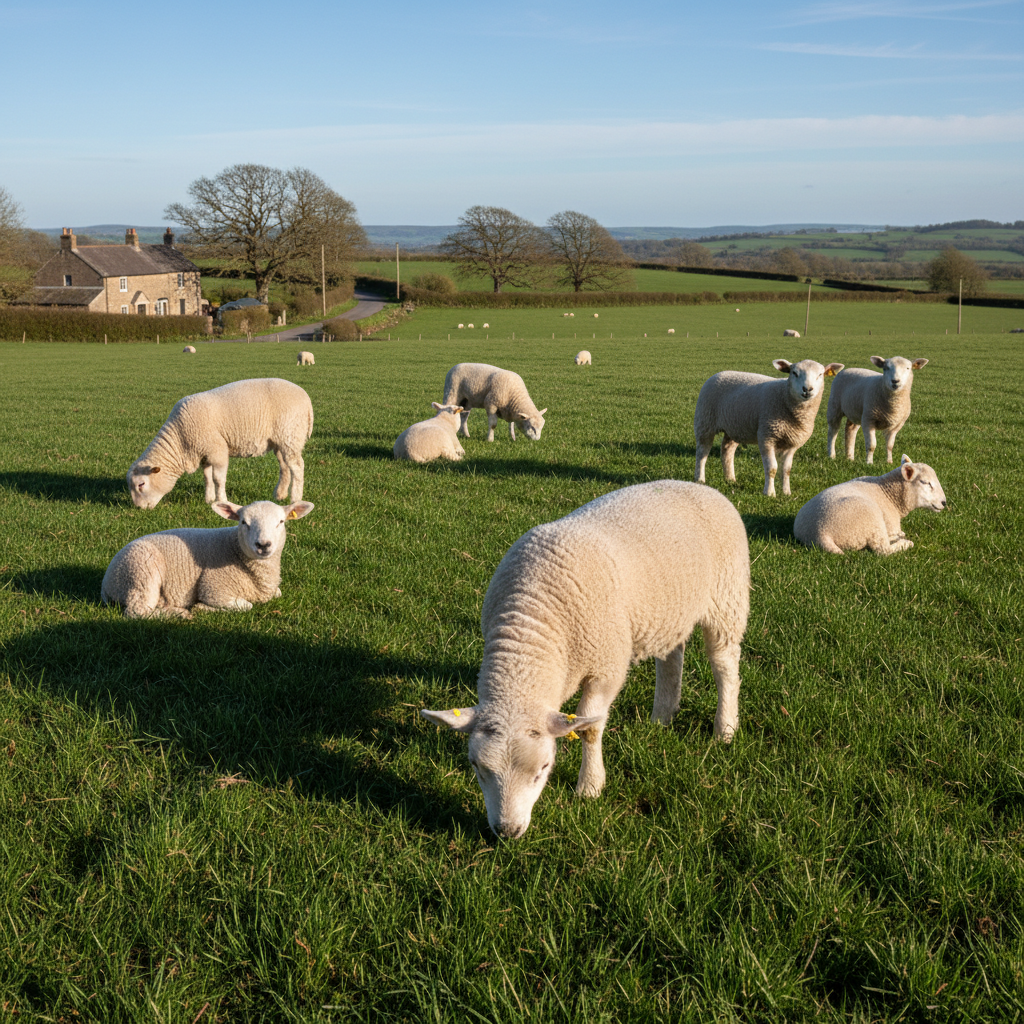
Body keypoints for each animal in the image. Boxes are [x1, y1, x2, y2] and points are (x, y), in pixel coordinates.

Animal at [101, 499, 314, 618]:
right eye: (243, 522)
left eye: (281, 522)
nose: (263, 545)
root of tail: (106, 583)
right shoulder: (214, 589)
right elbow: (247, 606)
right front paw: (201, 608)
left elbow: (277, 593)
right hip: (140, 573)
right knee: (136, 611)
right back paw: (180, 613)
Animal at [127, 378, 313, 509]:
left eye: (141, 484)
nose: (139, 508)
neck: (180, 439)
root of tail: (306, 398)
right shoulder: (204, 453)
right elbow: (207, 477)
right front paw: (208, 499)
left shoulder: (217, 451)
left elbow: (218, 479)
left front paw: (221, 500)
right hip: (280, 441)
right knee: (285, 466)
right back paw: (279, 495)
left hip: (290, 434)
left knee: (297, 466)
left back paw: (295, 498)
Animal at [421, 480, 750, 839]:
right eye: (476, 767)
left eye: (544, 768)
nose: (507, 831)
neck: (531, 624)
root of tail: (697, 486)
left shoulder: (607, 668)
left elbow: (590, 727)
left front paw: (590, 787)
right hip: (671, 609)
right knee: (671, 656)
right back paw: (662, 716)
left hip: (727, 598)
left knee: (725, 667)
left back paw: (725, 729)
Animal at [694, 358, 844, 497]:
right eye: (794, 373)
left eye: (820, 374)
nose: (807, 389)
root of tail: (719, 373)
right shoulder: (767, 437)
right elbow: (772, 468)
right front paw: (770, 493)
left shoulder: (792, 443)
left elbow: (786, 469)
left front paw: (786, 492)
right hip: (705, 421)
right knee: (702, 452)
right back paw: (700, 479)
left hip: (734, 427)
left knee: (727, 450)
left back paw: (730, 479)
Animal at [794, 455, 946, 554]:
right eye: (925, 482)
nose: (944, 502)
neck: (888, 493)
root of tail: (821, 533)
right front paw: (901, 537)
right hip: (870, 519)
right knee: (883, 549)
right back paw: (905, 543)